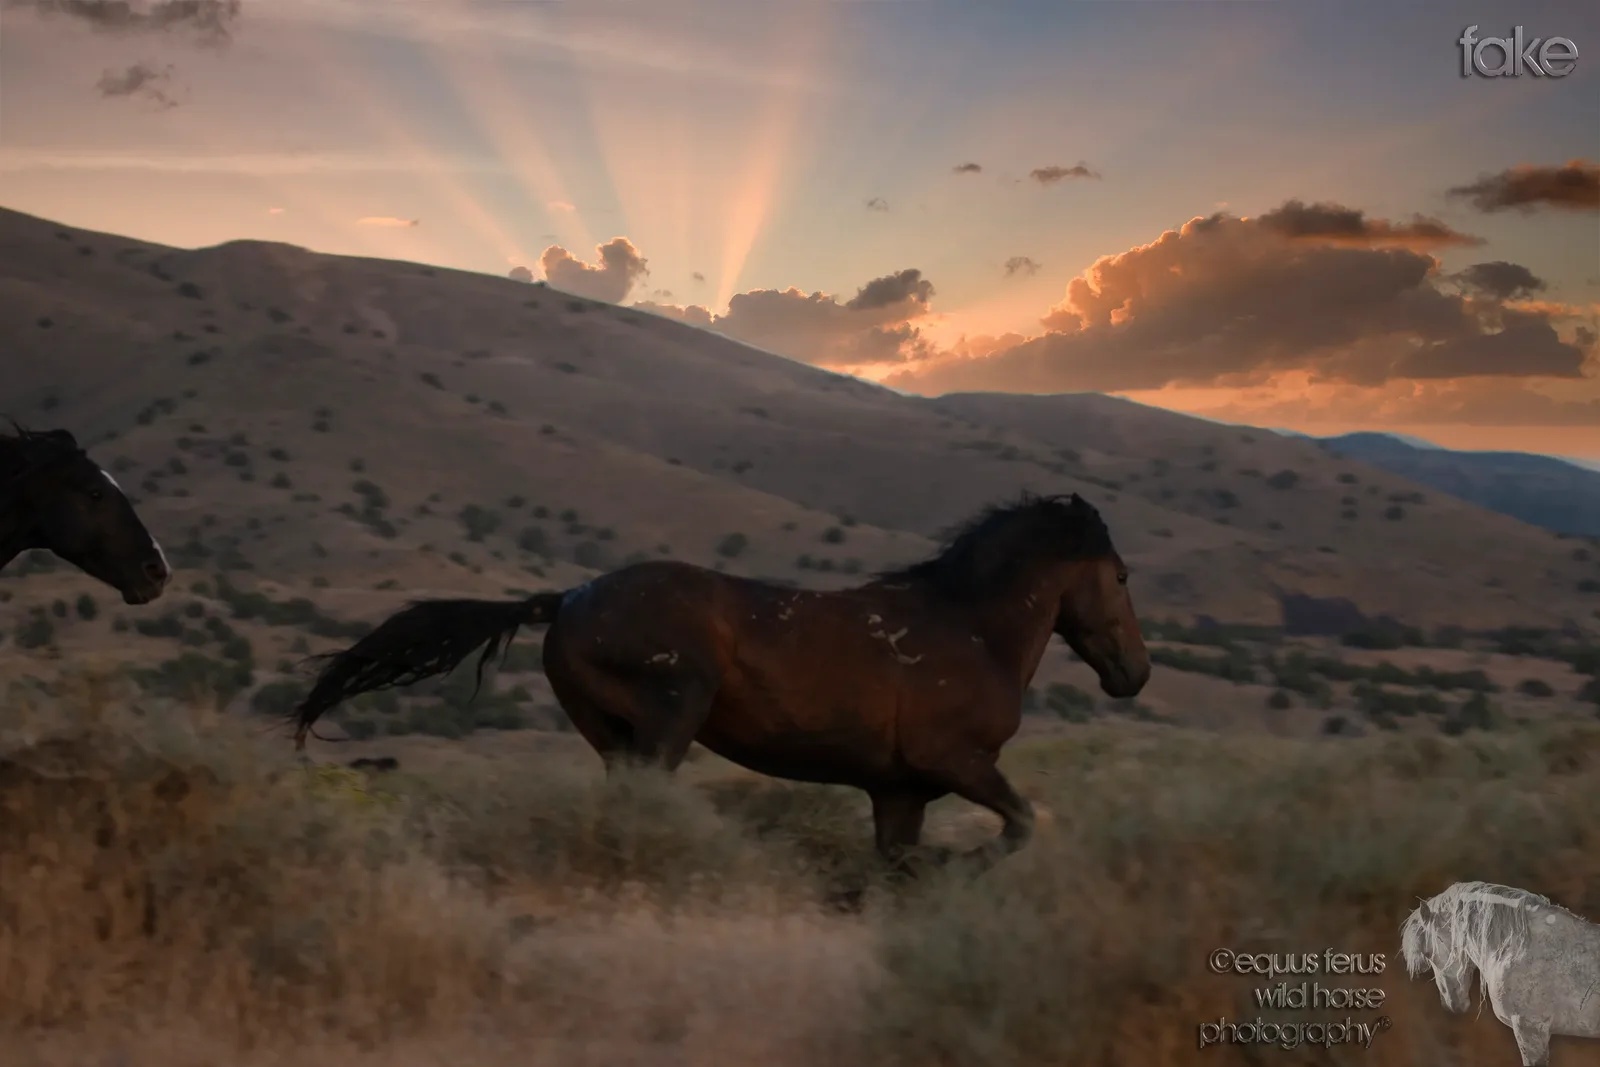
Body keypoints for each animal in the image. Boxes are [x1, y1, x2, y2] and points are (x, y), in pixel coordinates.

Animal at [289, 492, 1150, 876]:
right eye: (1120, 574)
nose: (1134, 673)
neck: (969, 628)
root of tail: (566, 599)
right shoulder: (956, 761)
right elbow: (1020, 824)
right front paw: (962, 867)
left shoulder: (901, 790)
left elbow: (893, 864)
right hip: (668, 722)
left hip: (615, 736)